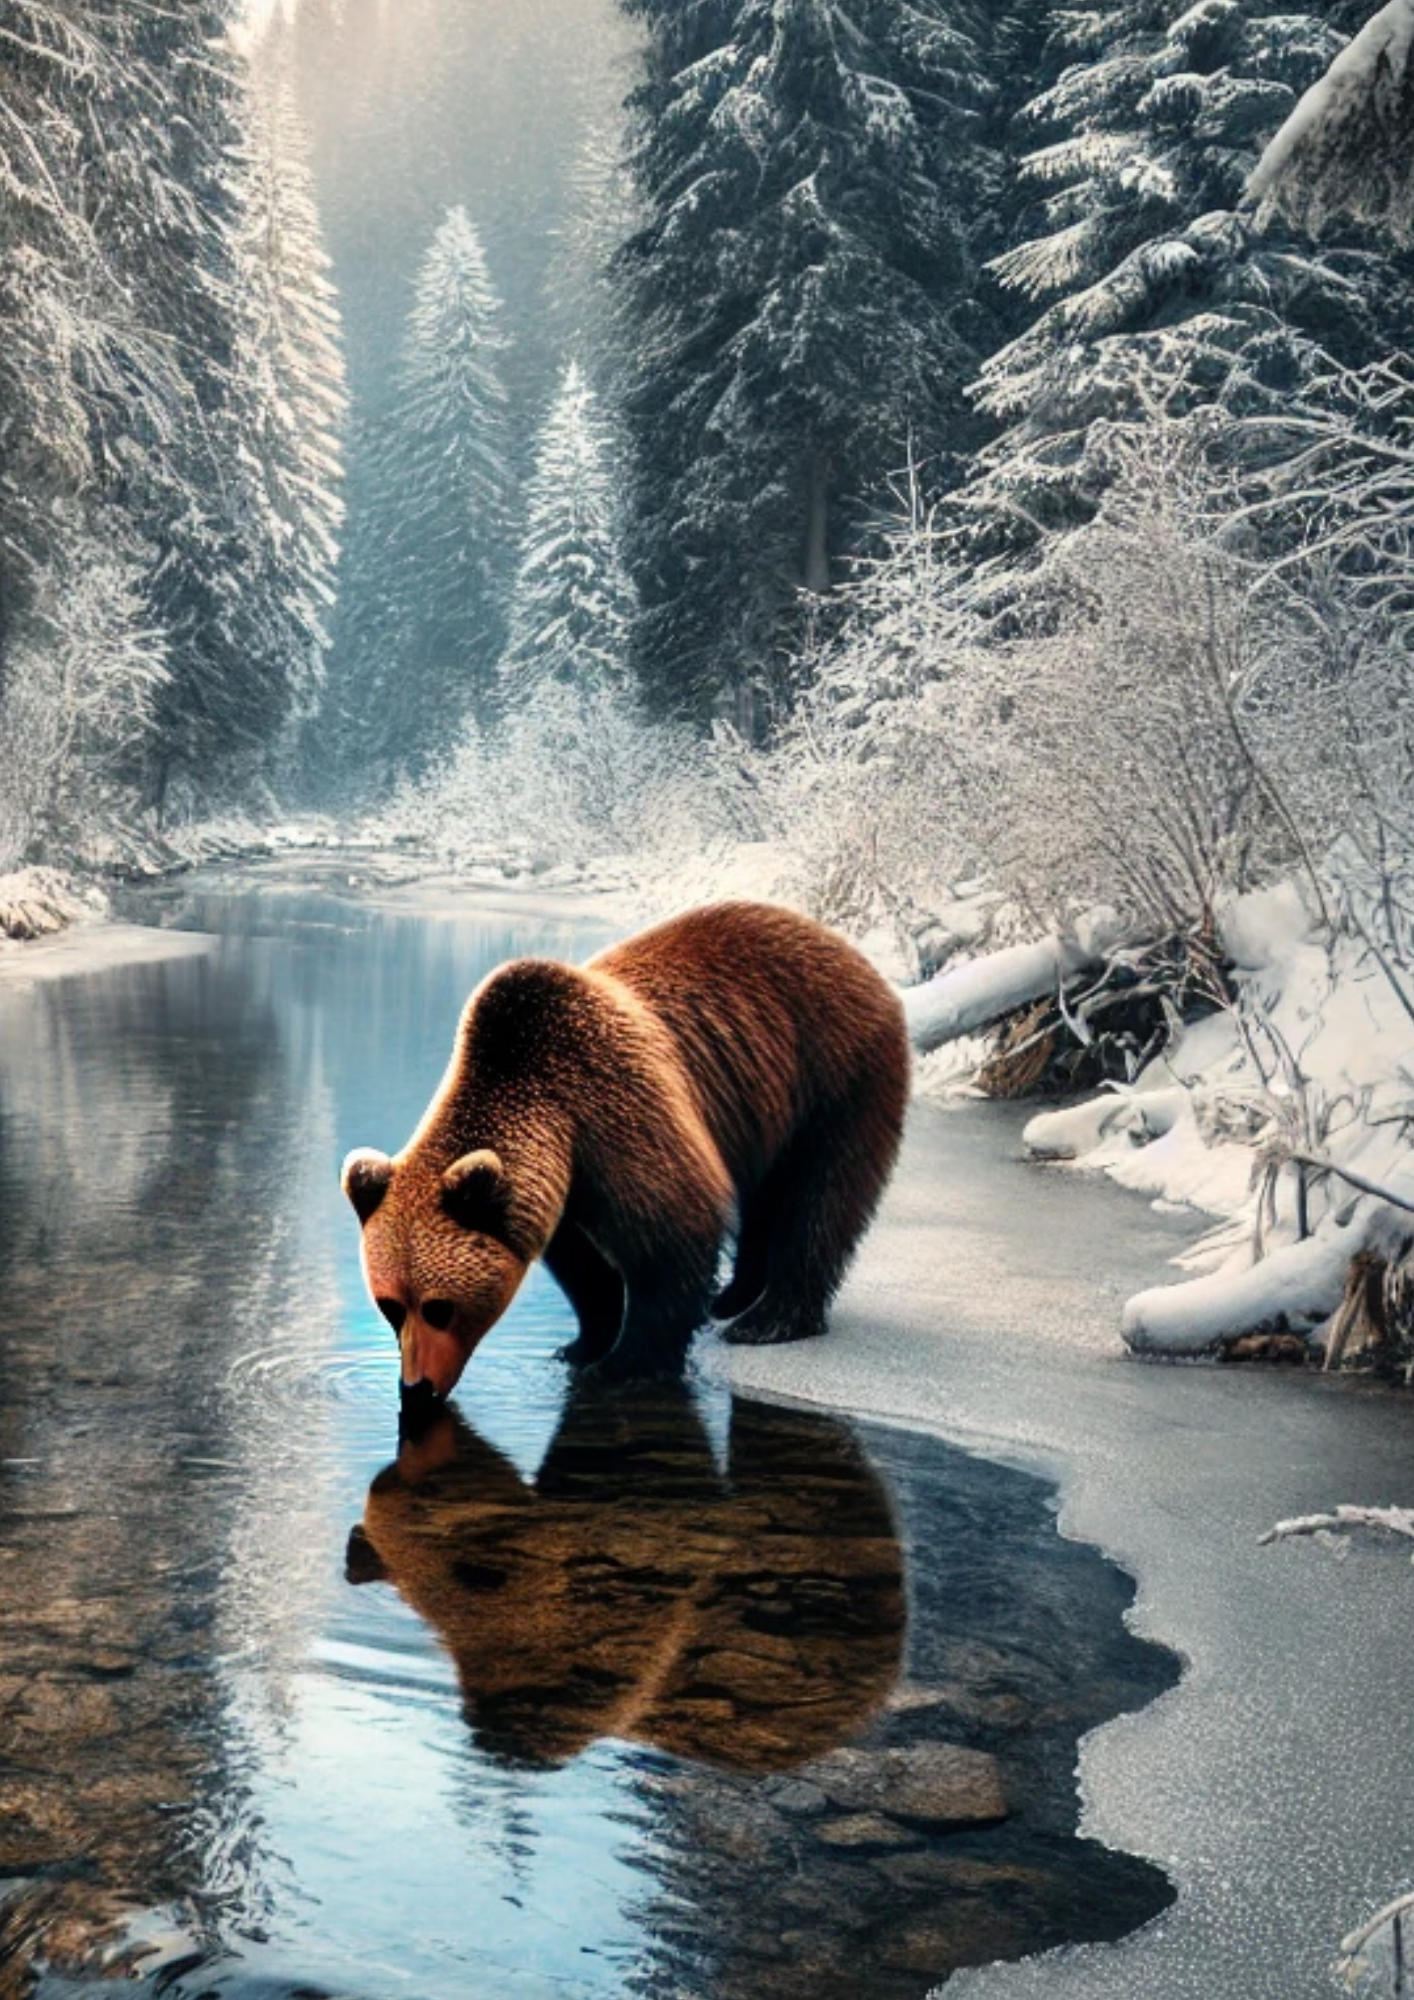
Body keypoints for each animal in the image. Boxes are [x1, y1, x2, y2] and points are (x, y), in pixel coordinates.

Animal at [341, 899, 910, 1397]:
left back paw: (769, 1319)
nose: (415, 1387)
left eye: (439, 1307)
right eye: (391, 1306)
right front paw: (582, 1343)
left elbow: (674, 1232)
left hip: (832, 1071)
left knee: (820, 1196)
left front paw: (623, 1363)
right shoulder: (563, 1183)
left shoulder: (615, 1105)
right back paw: (734, 1297)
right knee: (766, 1198)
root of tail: (855, 956)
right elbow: (582, 1265)